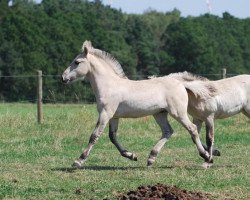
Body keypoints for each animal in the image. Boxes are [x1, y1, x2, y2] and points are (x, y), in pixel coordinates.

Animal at [62, 40, 211, 167]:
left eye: (77, 62)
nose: (63, 77)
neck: (109, 86)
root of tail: (180, 83)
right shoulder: (114, 116)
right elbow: (112, 137)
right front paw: (131, 155)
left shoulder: (105, 114)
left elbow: (94, 135)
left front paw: (79, 160)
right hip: (160, 113)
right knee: (168, 131)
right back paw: (151, 158)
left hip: (178, 112)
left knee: (192, 129)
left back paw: (206, 156)